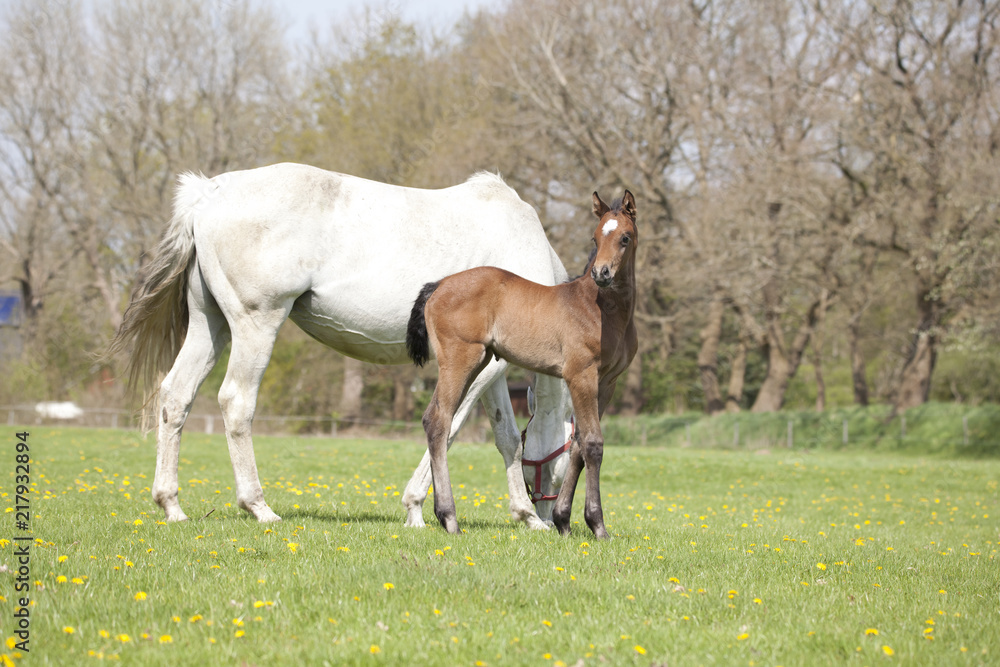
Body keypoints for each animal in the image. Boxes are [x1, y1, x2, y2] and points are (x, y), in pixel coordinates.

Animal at [107, 162, 575, 529]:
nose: (553, 518)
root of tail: (209, 194)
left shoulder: (490, 368)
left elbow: (506, 436)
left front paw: (524, 515)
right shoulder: (483, 368)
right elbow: (453, 427)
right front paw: (420, 509)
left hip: (211, 325)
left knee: (176, 396)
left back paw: (172, 505)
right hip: (255, 324)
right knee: (236, 402)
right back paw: (259, 507)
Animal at [406, 190, 639, 538]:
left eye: (625, 237)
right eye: (596, 238)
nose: (601, 274)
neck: (603, 309)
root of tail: (439, 285)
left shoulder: (607, 382)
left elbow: (578, 446)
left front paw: (563, 520)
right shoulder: (581, 375)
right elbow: (593, 444)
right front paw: (597, 525)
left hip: (478, 362)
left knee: (436, 419)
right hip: (460, 360)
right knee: (438, 421)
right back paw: (449, 517)